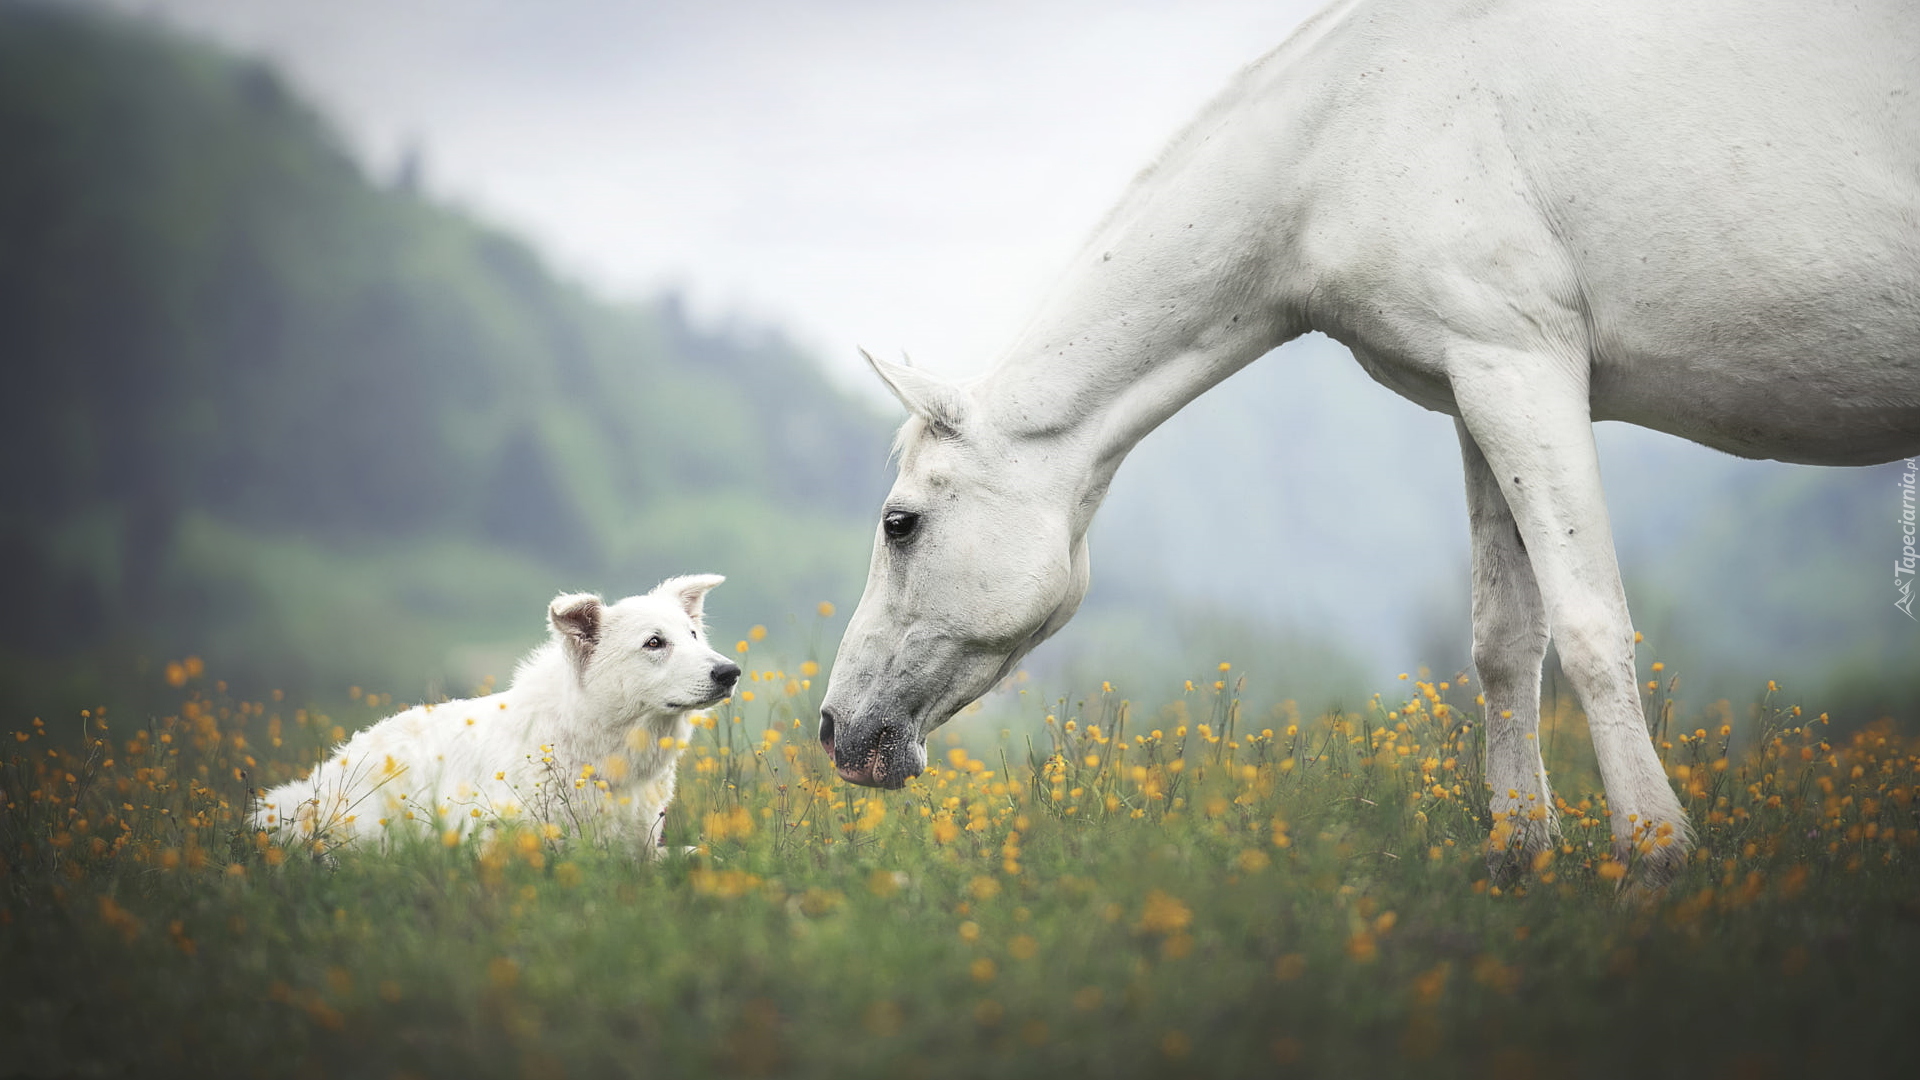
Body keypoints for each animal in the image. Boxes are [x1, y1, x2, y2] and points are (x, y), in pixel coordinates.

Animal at [817, 0, 1912, 880]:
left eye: (901, 523)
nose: (835, 729)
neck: (1345, 131)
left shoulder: (1525, 369)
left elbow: (1592, 627)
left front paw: (1655, 858)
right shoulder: (1481, 388)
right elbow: (1506, 642)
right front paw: (1519, 853)